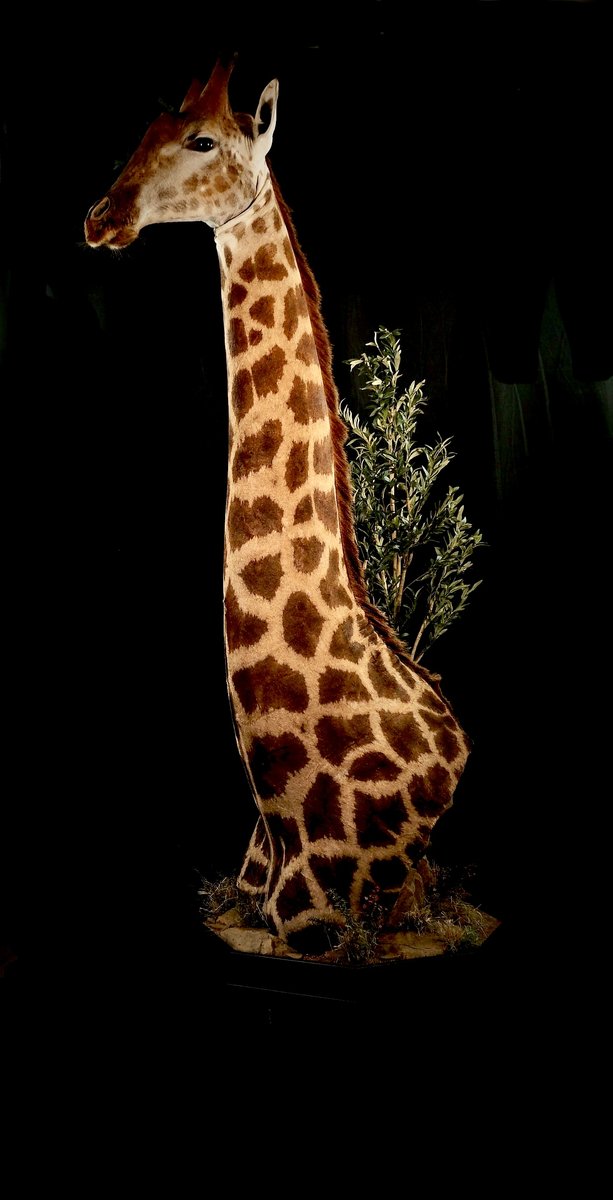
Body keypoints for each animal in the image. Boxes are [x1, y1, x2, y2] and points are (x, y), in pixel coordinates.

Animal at [85, 56, 471, 953]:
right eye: (143, 130)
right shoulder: (250, 892)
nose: (101, 217)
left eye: (201, 139)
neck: (282, 810)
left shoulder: (318, 918)